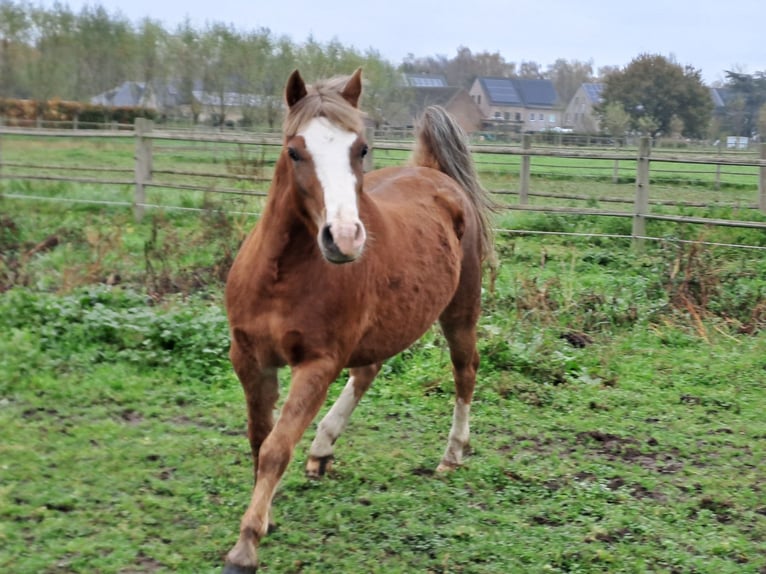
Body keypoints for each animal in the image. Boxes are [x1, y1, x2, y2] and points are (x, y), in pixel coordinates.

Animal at [222, 70, 498, 572]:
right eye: (295, 150)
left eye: (361, 148)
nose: (345, 238)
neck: (280, 277)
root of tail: (434, 172)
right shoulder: (249, 359)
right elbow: (258, 438)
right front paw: (266, 517)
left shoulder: (317, 364)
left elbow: (275, 448)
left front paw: (246, 545)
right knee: (369, 370)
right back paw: (321, 450)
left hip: (461, 309)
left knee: (465, 371)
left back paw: (451, 455)